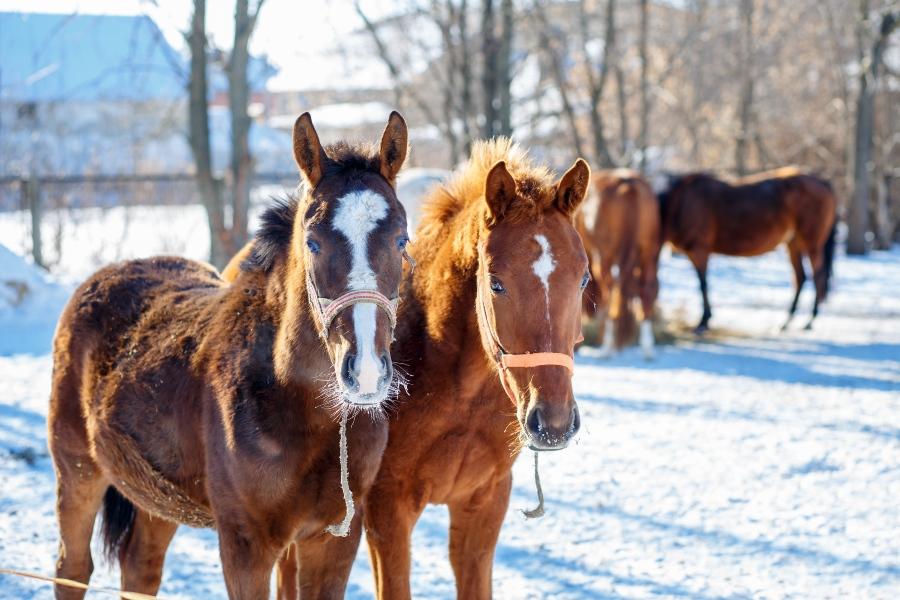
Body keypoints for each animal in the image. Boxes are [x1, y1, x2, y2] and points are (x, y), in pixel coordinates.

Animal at [48, 111, 412, 596]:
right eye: (313, 243)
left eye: (402, 241)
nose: (367, 372)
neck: (308, 414)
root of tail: (102, 277)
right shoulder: (245, 544)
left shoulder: (335, 539)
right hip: (77, 470)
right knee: (72, 569)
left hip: (159, 498)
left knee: (139, 567)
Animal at [576, 166, 660, 358]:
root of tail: (629, 185)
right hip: (649, 253)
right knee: (646, 291)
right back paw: (647, 347)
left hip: (604, 257)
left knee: (611, 292)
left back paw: (607, 346)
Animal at [656, 166, 840, 330]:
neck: (681, 203)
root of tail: (823, 182)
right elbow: (703, 283)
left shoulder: (699, 250)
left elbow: (703, 284)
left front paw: (704, 321)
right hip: (793, 243)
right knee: (800, 278)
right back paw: (787, 321)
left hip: (812, 244)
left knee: (818, 277)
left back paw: (810, 320)